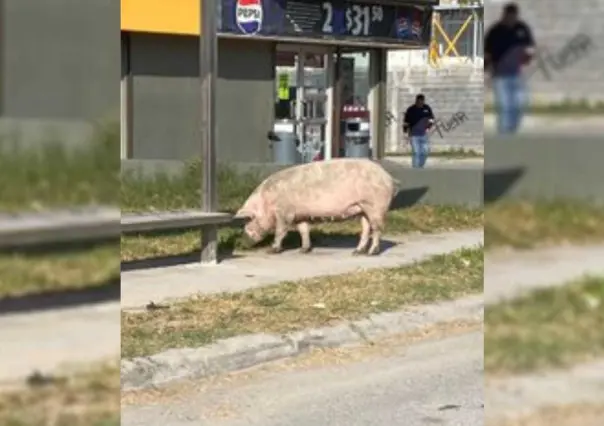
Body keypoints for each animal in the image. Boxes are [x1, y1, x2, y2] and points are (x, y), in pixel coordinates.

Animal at [235, 158, 396, 255]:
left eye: (247, 224)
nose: (241, 244)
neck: (266, 202)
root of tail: (388, 177)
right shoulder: (300, 215)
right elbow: (304, 230)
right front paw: (303, 250)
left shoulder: (285, 213)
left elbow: (281, 231)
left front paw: (272, 250)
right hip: (362, 208)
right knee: (366, 229)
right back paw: (357, 252)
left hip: (375, 205)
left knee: (377, 229)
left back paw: (372, 253)